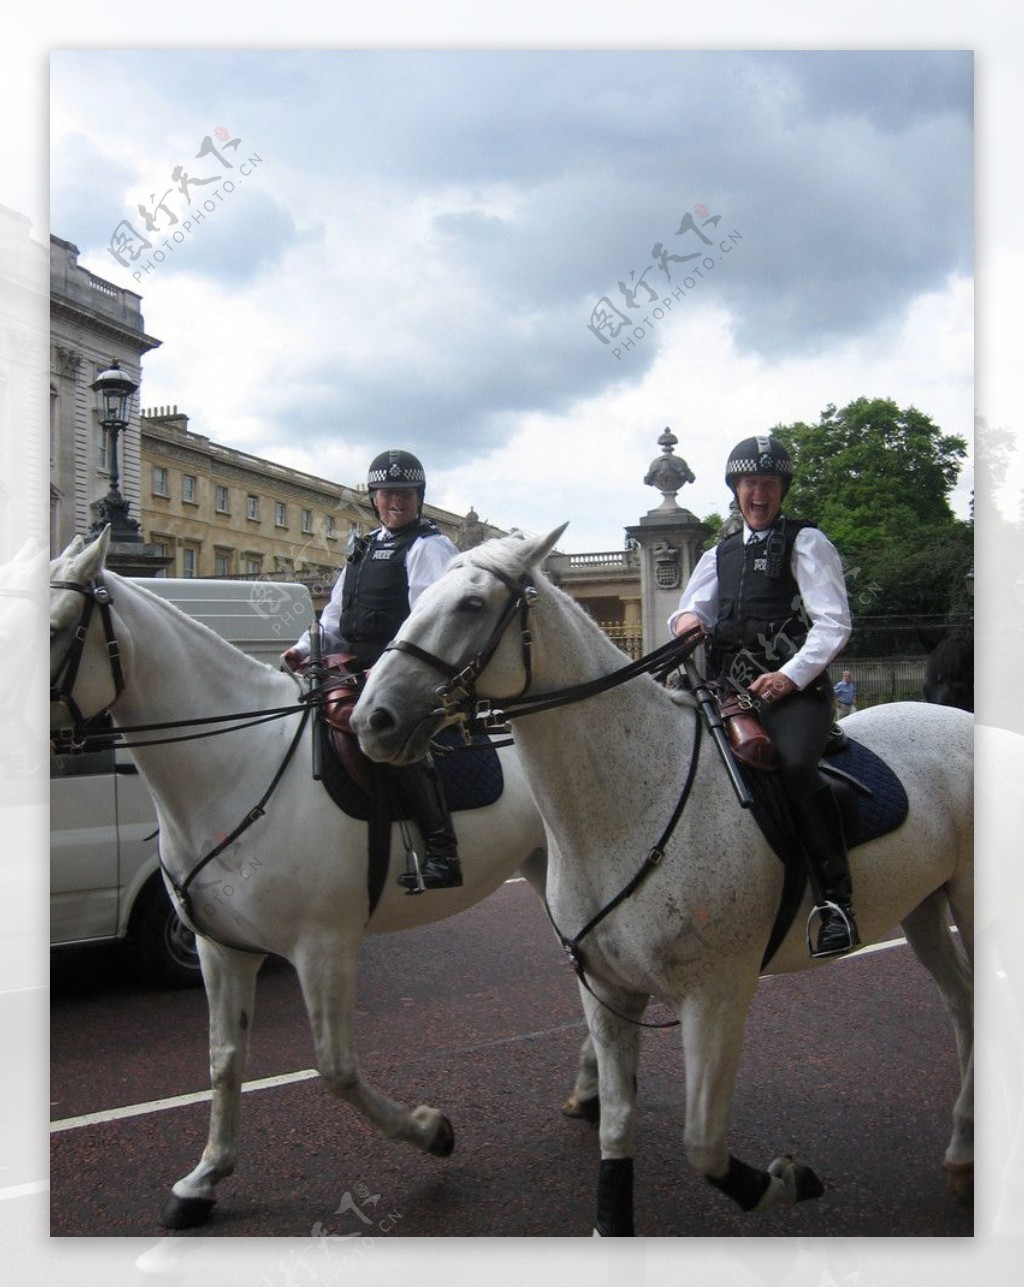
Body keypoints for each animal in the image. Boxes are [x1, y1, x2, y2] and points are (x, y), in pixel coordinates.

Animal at [49, 527, 591, 1230]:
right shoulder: (220, 948)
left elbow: (335, 1070)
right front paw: (204, 1179)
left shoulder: (323, 946)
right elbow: (224, 1060)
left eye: (56, 627)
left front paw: (430, 1130)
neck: (235, 765)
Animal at [355, 525, 977, 1235]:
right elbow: (617, 1127)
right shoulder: (607, 988)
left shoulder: (717, 996)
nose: (372, 719)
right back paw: (962, 1150)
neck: (629, 802)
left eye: (470, 605)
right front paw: (611, 1210)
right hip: (924, 904)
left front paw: (786, 1181)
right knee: (963, 1005)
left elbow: (702, 1143)